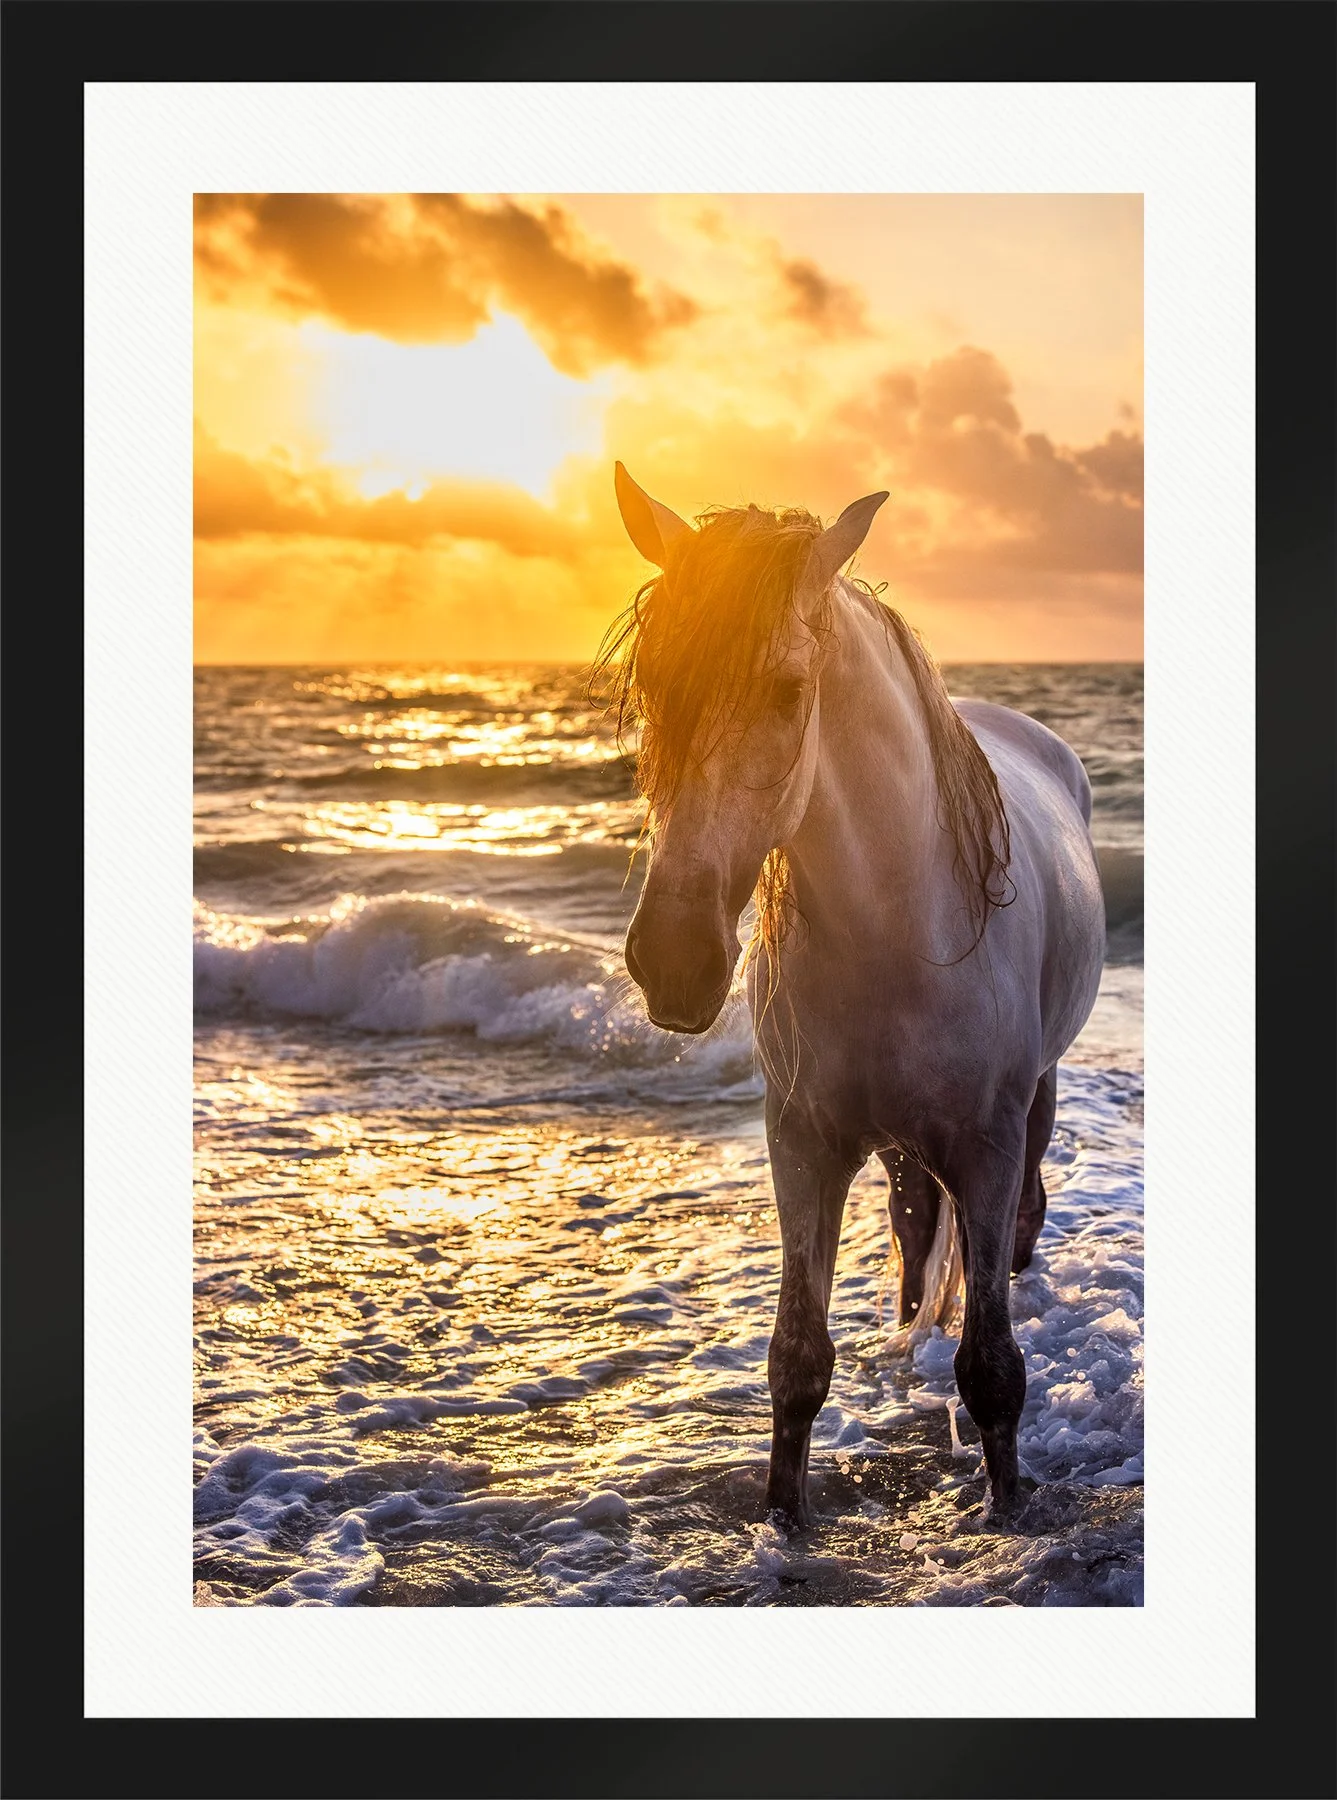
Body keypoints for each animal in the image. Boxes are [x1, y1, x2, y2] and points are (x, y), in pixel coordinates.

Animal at [599, 462, 1106, 1528]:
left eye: (790, 689)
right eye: (654, 685)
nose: (673, 960)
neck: (901, 932)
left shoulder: (985, 1147)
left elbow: (992, 1370)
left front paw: (1005, 1512)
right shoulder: (802, 1143)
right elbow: (795, 1360)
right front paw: (785, 1524)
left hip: (1033, 1103)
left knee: (1020, 1221)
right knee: (914, 1230)